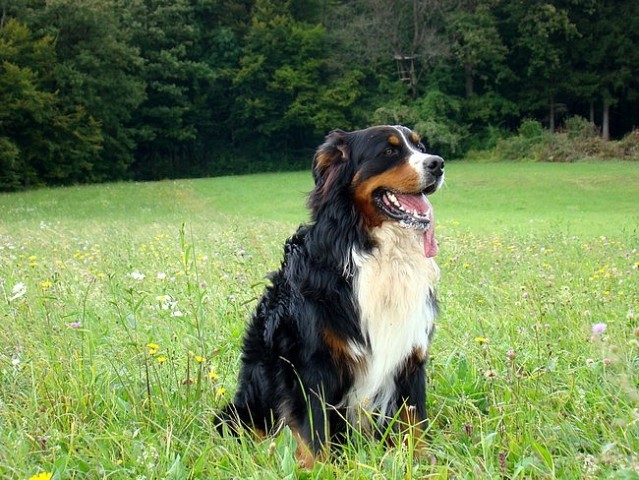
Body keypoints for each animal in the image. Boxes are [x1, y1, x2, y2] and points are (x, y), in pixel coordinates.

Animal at [220, 125, 444, 466]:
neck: (375, 251)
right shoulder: (310, 365)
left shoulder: (409, 355)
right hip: (241, 410)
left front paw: (422, 463)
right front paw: (317, 468)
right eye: (389, 151)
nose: (438, 163)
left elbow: (414, 421)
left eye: (420, 147)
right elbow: (313, 432)